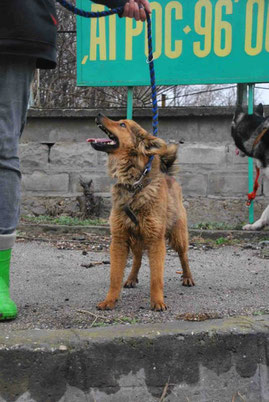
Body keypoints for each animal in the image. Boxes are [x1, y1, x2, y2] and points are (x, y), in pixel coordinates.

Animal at [87, 113, 194, 310]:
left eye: (122, 124)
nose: (98, 114)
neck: (133, 185)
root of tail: (168, 176)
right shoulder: (119, 240)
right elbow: (114, 276)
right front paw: (110, 300)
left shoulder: (156, 241)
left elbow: (156, 277)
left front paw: (158, 301)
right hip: (136, 238)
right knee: (137, 258)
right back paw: (131, 278)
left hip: (178, 235)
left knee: (184, 256)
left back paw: (188, 277)